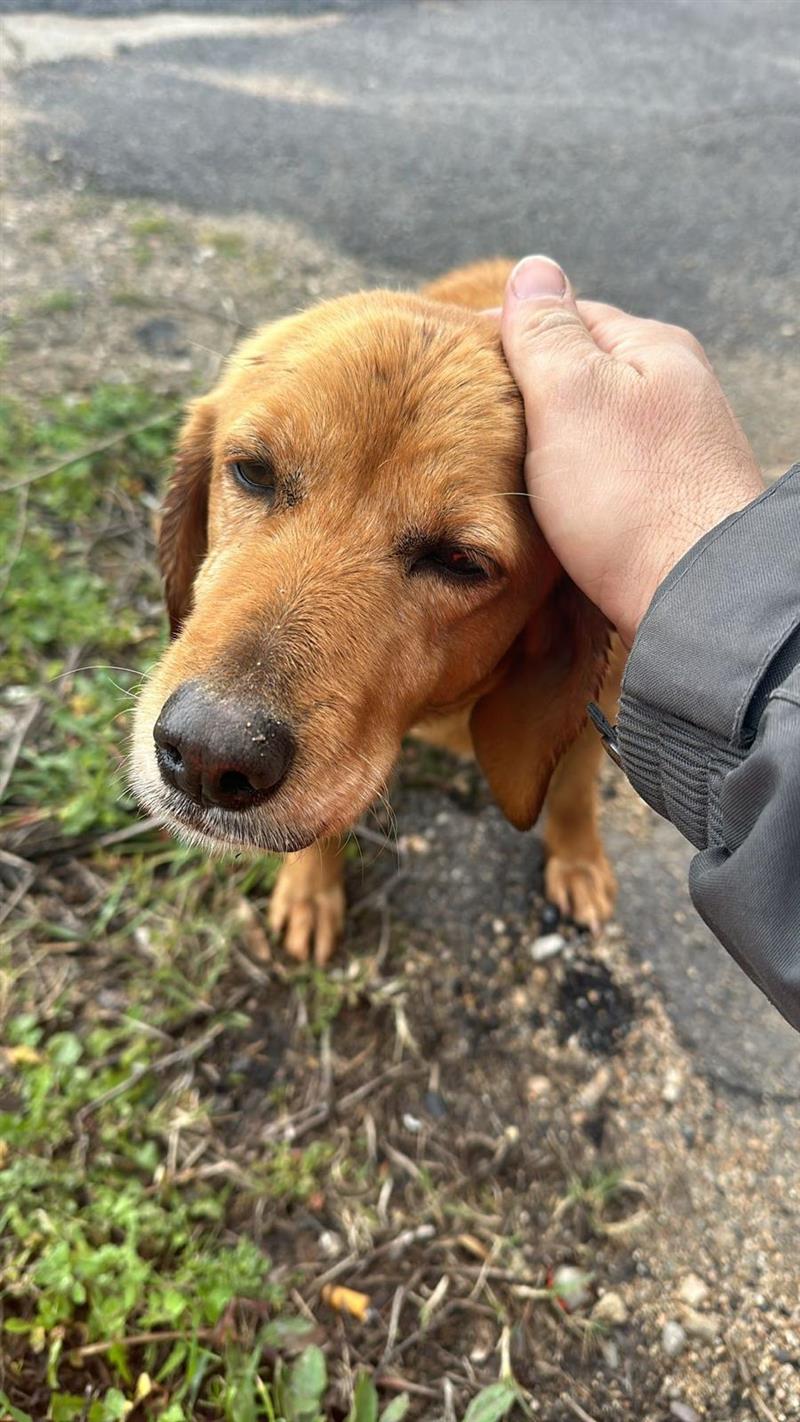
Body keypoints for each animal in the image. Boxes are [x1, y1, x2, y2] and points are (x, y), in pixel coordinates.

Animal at [131, 261, 622, 961]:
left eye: (461, 561)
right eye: (252, 472)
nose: (207, 756)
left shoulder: (594, 712)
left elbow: (576, 794)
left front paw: (578, 861)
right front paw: (311, 888)